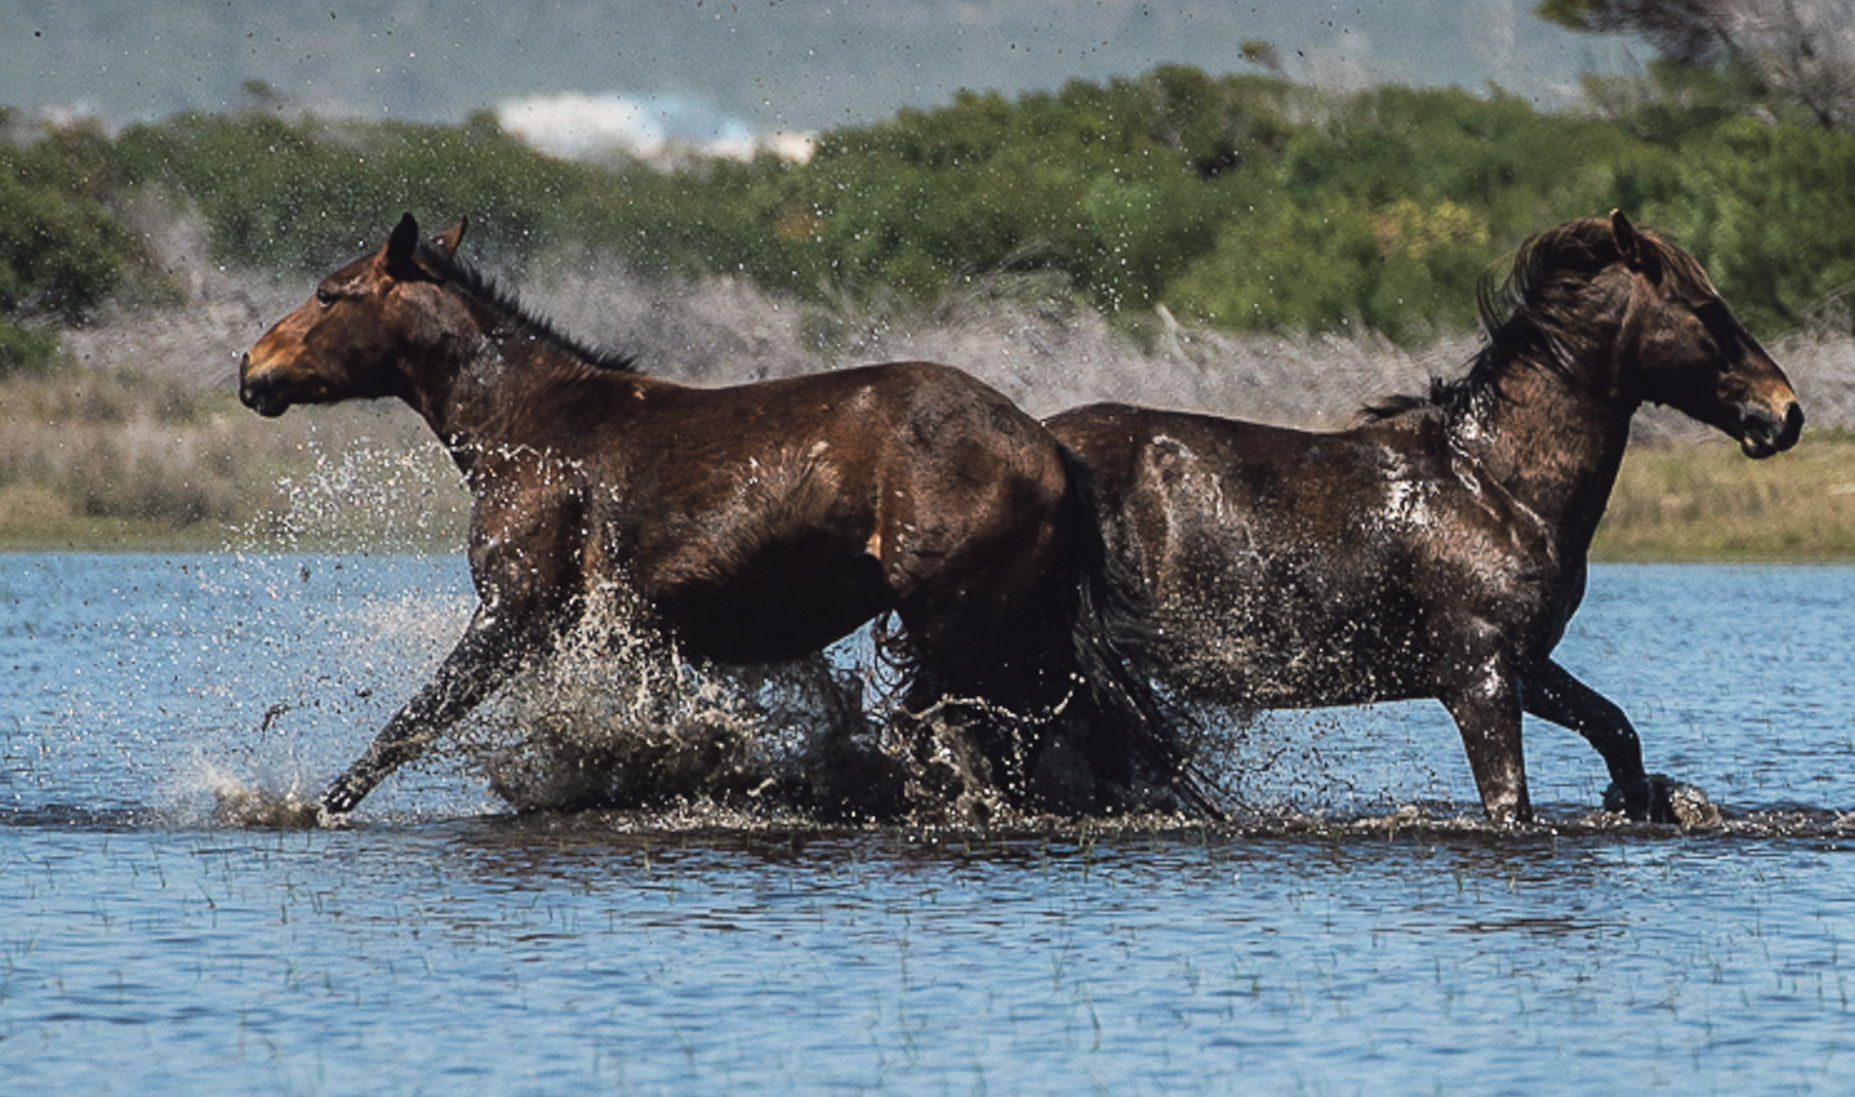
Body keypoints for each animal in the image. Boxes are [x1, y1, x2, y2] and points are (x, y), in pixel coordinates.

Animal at [240, 213, 1201, 821]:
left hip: (961, 629)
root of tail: (1047, 446)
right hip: (1011, 629)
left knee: (1004, 745)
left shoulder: (516, 614)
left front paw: (314, 806)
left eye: (328, 293)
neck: (528, 432)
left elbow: (409, 725)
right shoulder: (622, 632)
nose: (252, 369)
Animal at [1046, 212, 1803, 825]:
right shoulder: (1478, 672)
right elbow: (1510, 803)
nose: (1784, 412)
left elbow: (1614, 726)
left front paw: (1643, 799)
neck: (1493, 486)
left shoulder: (1526, 662)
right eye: (1705, 309)